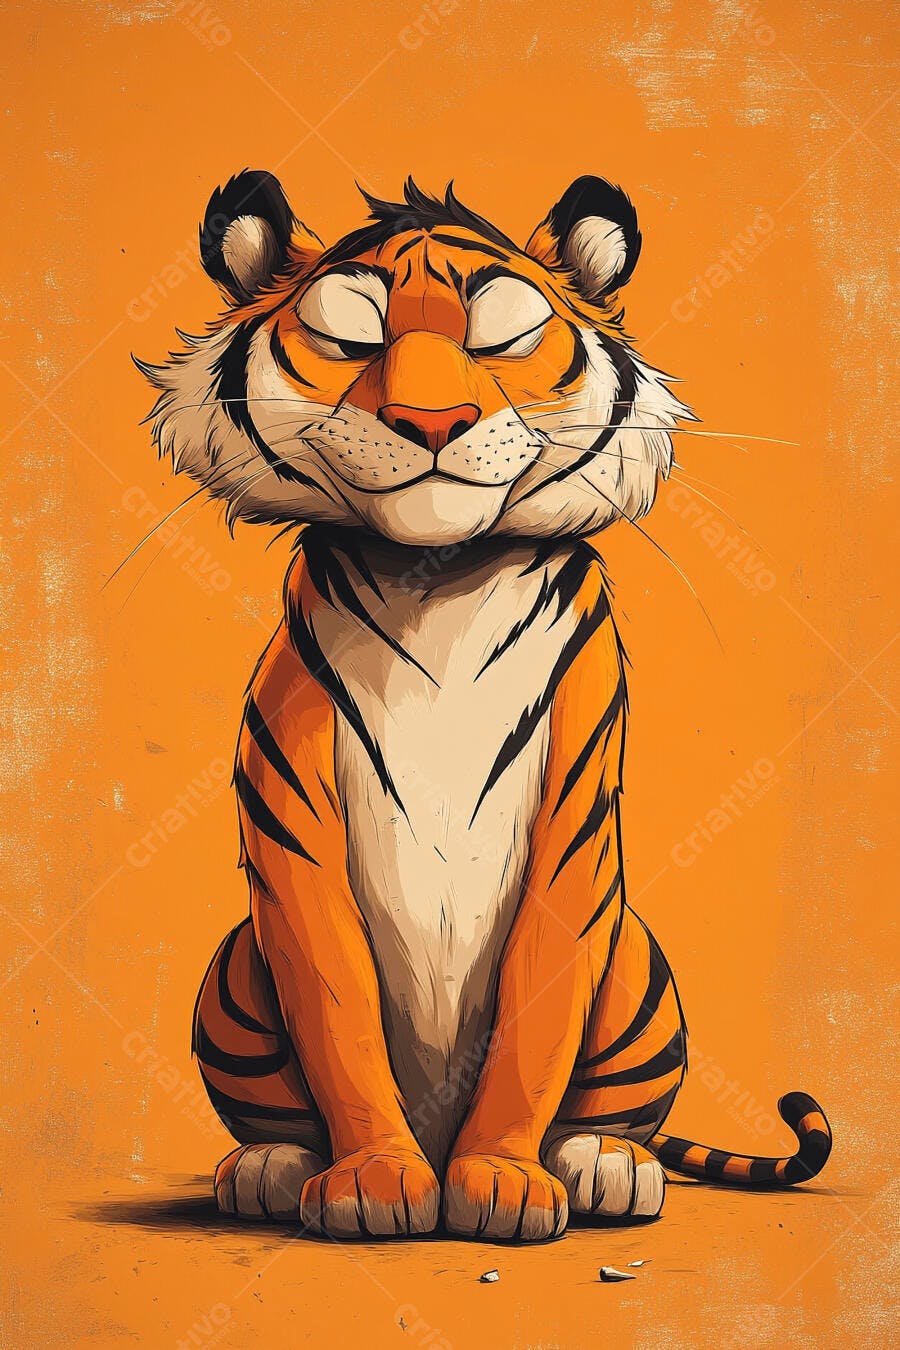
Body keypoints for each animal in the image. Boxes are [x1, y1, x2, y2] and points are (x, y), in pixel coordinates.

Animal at [137, 171, 831, 1241]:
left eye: (501, 335)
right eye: (349, 337)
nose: (433, 420)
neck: (440, 578)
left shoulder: (571, 827)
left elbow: (535, 1024)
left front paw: (502, 1180)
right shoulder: (296, 834)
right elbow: (338, 1011)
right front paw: (374, 1180)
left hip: (636, 969)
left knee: (612, 1111)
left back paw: (605, 1165)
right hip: (236, 975)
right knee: (275, 1107)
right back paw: (269, 1167)